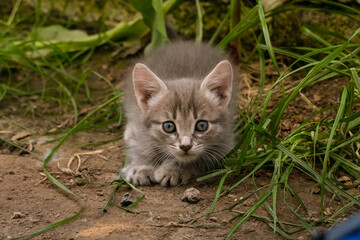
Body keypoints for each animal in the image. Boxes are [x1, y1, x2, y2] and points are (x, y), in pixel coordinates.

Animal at [122, 41, 236, 187]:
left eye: (202, 125)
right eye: (168, 126)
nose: (185, 146)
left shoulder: (224, 144)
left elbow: (198, 160)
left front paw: (174, 169)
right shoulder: (141, 126)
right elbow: (142, 144)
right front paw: (142, 166)